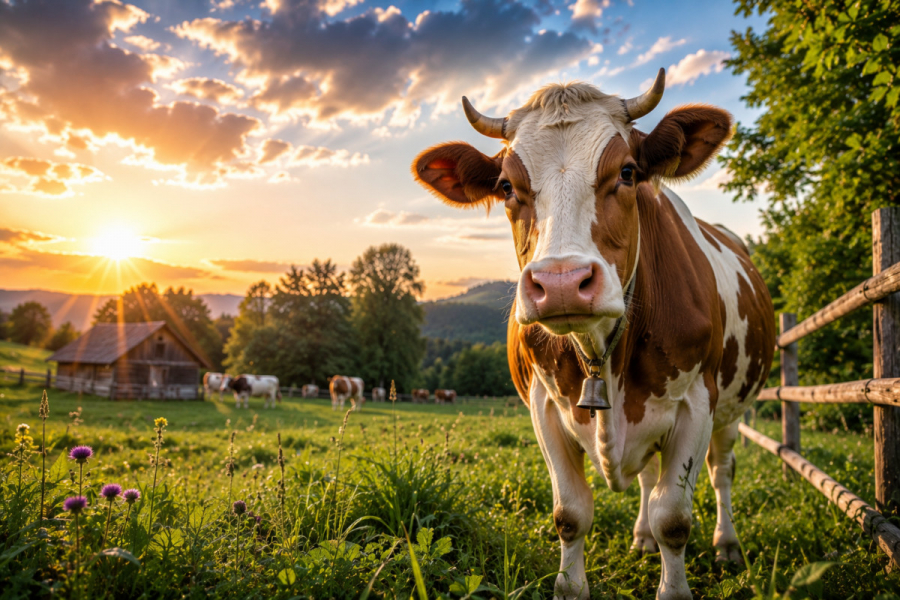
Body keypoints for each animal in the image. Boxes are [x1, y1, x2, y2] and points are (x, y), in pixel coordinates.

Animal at [412, 69, 775, 600]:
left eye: (627, 172)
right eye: (506, 186)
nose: (562, 282)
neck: (603, 353)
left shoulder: (697, 402)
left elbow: (674, 518)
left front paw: (674, 581)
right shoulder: (543, 405)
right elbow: (571, 513)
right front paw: (573, 582)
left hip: (732, 407)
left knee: (721, 472)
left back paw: (727, 545)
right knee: (647, 478)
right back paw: (642, 539)